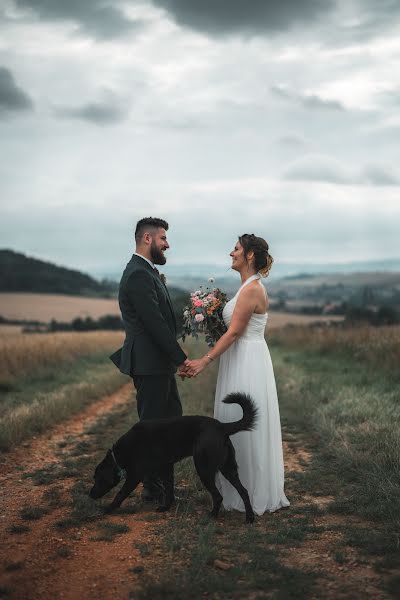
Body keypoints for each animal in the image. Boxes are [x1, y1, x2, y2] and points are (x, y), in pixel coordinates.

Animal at [89, 392, 258, 524]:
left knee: (218, 496)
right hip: (228, 468)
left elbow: (121, 493)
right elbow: (168, 489)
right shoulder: (165, 467)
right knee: (243, 491)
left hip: (203, 469)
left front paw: (108, 509)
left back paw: (212, 516)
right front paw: (165, 507)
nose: (90, 495)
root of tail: (222, 427)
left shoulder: (135, 476)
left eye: (97, 478)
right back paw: (249, 518)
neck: (120, 453)